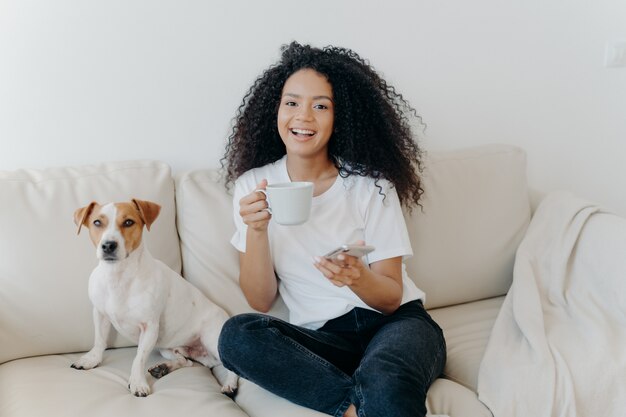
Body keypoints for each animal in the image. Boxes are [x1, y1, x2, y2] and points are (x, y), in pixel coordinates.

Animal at [69, 198, 238, 396]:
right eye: (97, 222)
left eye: (128, 222)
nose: (108, 245)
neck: (118, 276)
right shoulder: (100, 314)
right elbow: (99, 341)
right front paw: (92, 359)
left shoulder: (149, 327)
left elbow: (139, 358)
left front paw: (137, 382)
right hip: (168, 348)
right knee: (186, 361)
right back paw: (164, 367)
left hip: (212, 340)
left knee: (231, 367)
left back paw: (230, 384)